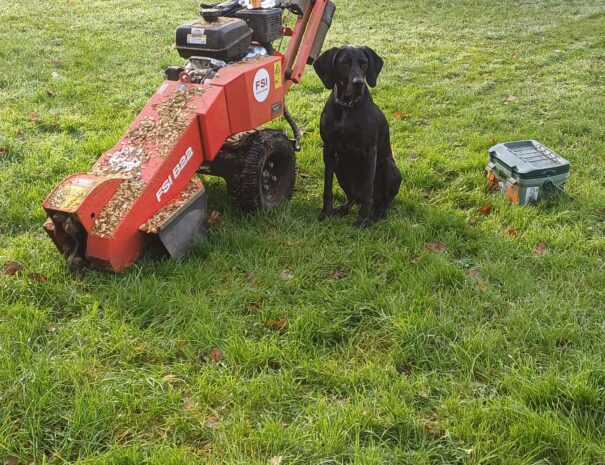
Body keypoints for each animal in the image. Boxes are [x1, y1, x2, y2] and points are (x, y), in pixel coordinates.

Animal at [312, 44, 402, 226]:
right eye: (344, 63)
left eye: (364, 63)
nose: (358, 83)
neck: (347, 106)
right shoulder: (328, 148)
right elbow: (327, 187)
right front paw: (326, 212)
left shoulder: (370, 151)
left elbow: (368, 188)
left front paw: (363, 220)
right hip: (339, 165)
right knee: (352, 197)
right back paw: (343, 209)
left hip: (390, 167)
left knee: (384, 200)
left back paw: (380, 212)